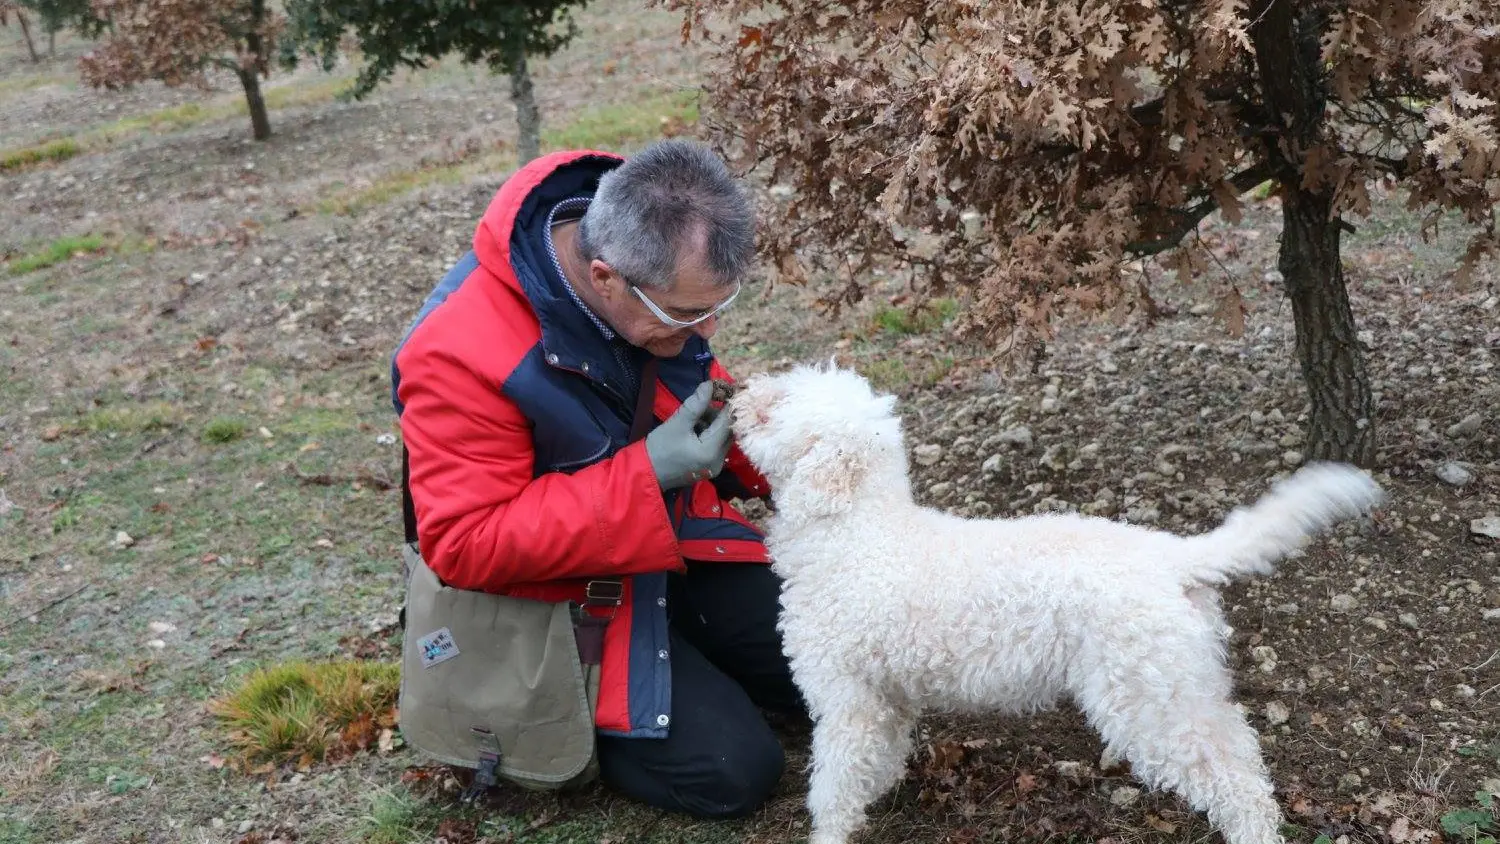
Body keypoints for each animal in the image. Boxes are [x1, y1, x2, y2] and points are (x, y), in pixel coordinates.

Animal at [723, 362, 1380, 844]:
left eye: (778, 404)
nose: (739, 389)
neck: (856, 532)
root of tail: (1171, 556)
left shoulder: (847, 700)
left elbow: (833, 784)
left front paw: (830, 832)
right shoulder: (885, 696)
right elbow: (875, 761)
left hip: (1145, 699)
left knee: (1231, 781)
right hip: (1179, 683)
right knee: (1241, 752)